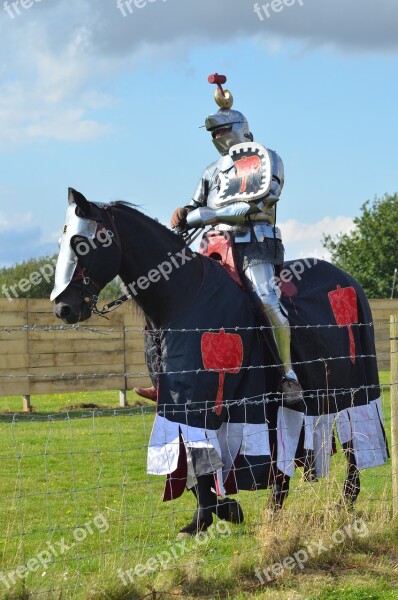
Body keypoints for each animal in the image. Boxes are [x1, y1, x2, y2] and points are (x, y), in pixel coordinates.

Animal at [51, 188, 388, 536]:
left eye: (81, 243)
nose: (64, 308)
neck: (180, 297)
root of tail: (349, 281)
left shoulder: (200, 402)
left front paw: (213, 513)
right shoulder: (176, 402)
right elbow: (192, 459)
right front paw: (220, 510)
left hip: (354, 388)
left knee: (354, 441)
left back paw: (344, 501)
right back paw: (277, 506)